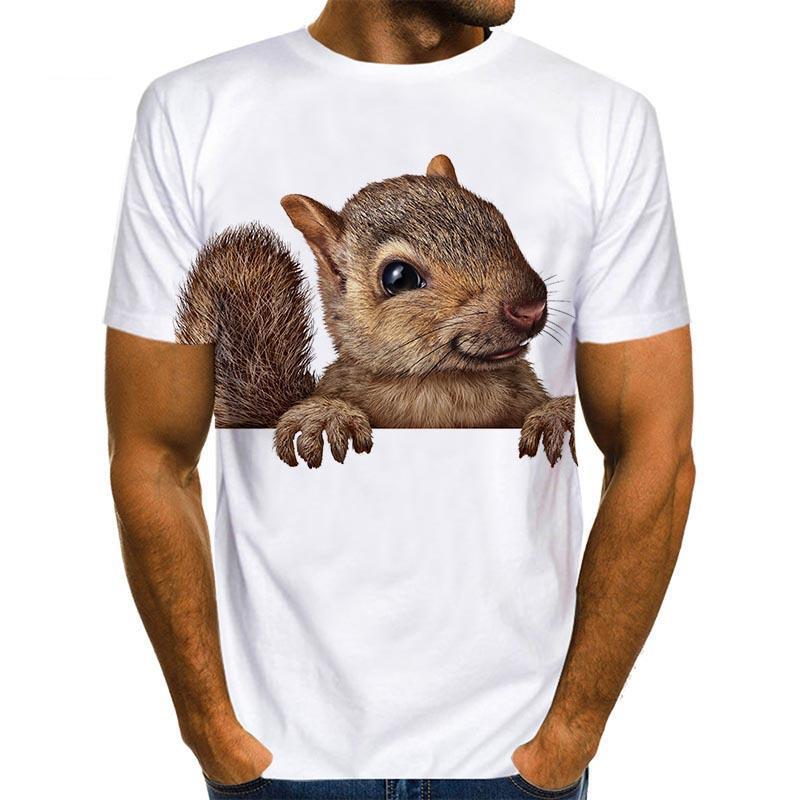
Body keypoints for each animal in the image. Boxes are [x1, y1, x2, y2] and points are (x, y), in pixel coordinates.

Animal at [175, 154, 576, 469]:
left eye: (499, 222)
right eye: (399, 277)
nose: (529, 307)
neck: (446, 387)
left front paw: (555, 417)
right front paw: (326, 418)